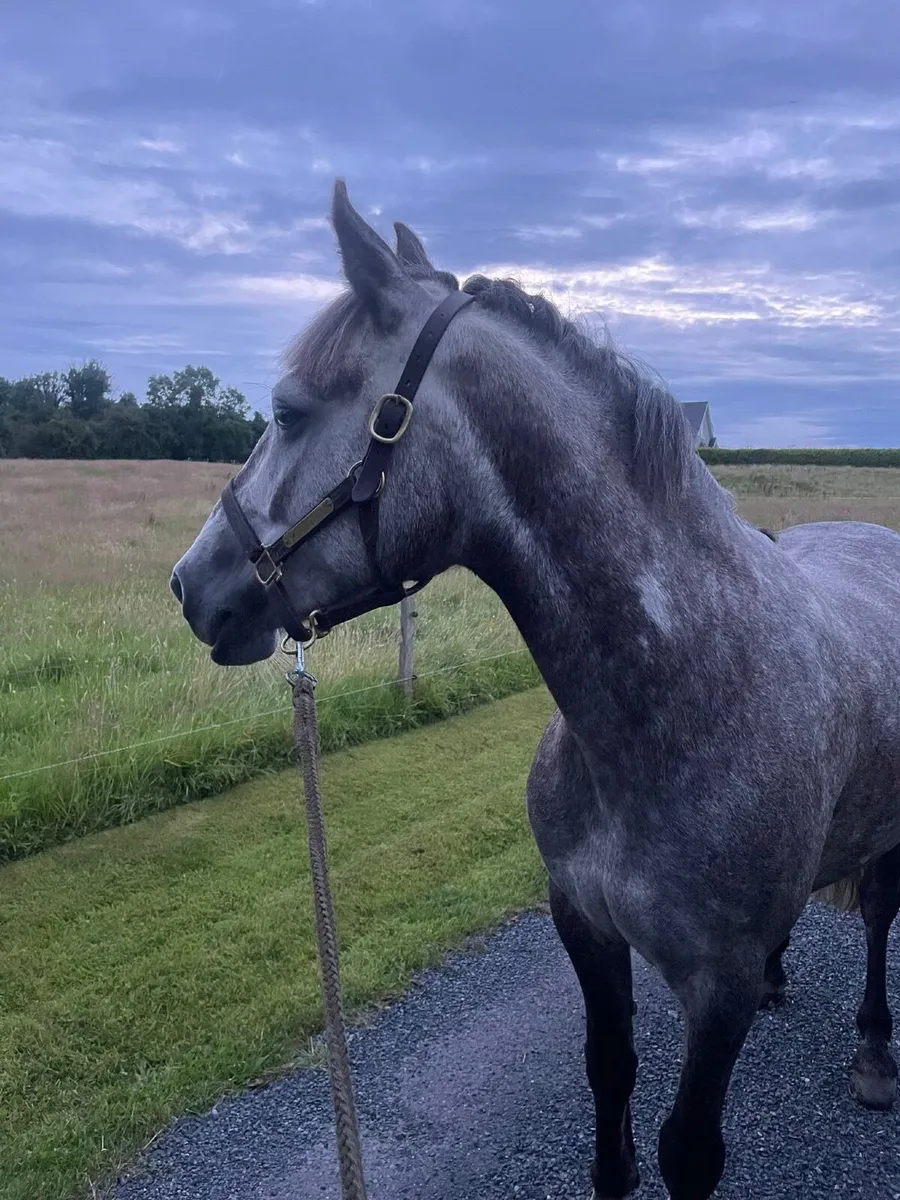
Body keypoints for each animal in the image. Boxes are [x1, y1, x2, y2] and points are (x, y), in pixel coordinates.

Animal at [171, 180, 900, 1199]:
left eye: (287, 410)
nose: (190, 586)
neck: (679, 698)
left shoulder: (714, 990)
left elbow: (688, 1149)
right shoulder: (585, 927)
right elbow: (610, 1082)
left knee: (877, 918)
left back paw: (875, 1053)